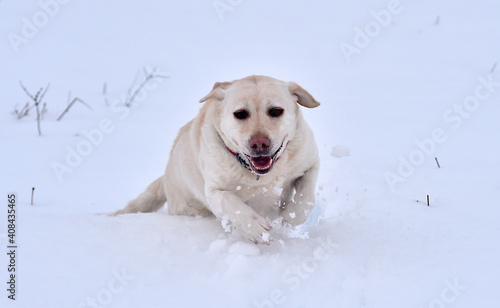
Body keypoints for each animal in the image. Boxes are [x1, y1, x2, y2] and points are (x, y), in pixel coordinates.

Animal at [114, 74, 320, 243]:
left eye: (276, 111)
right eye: (240, 114)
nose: (259, 143)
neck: (258, 175)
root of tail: (166, 177)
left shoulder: (310, 162)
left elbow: (306, 197)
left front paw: (291, 216)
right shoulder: (213, 190)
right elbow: (229, 201)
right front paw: (254, 227)